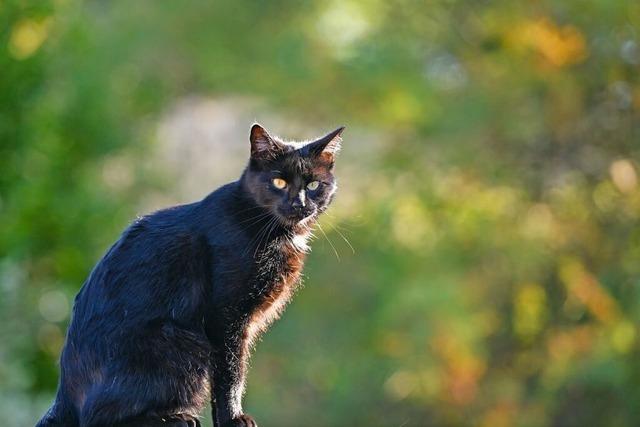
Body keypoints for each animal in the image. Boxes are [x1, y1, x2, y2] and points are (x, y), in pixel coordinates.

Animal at [35, 123, 344, 427]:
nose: (299, 204)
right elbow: (230, 373)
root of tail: (64, 396)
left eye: (313, 185)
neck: (272, 230)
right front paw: (234, 418)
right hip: (179, 342)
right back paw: (175, 418)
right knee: (98, 417)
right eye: (279, 182)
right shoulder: (224, 317)